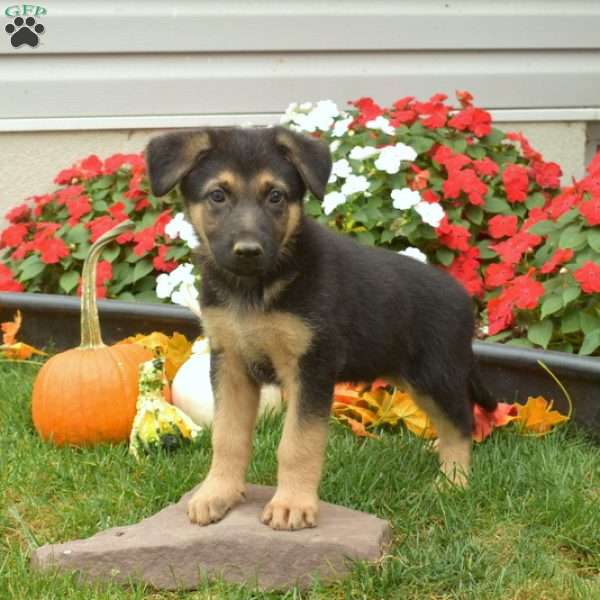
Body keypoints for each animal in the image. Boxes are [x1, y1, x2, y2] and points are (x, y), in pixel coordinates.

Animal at [144, 126, 492, 528]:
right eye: (218, 195)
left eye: (276, 196)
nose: (248, 251)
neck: (256, 289)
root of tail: (464, 299)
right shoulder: (230, 364)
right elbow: (228, 436)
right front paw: (218, 493)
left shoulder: (311, 367)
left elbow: (298, 443)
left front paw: (292, 504)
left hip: (433, 376)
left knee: (461, 422)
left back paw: (453, 481)